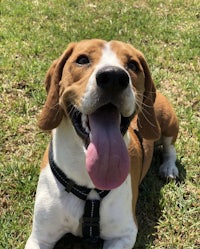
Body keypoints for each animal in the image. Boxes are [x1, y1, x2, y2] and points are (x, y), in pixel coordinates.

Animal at [24, 39, 178, 249]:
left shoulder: (124, 234)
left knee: (170, 148)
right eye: (82, 60)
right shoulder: (40, 237)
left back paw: (169, 168)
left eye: (133, 65)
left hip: (168, 122)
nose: (113, 77)